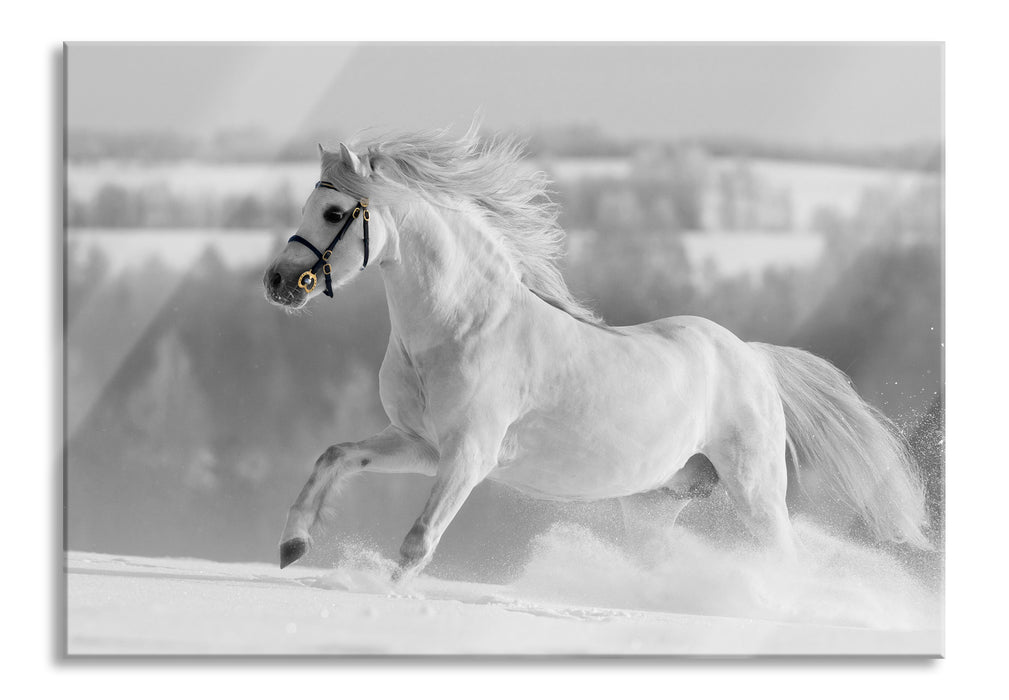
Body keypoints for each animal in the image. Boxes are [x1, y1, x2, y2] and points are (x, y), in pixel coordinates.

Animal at [263, 128, 931, 578]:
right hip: (663, 499)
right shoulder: (422, 445)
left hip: (757, 492)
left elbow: (418, 542)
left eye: (332, 211)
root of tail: (752, 359)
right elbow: (334, 456)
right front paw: (292, 547)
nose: (279, 281)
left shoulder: (470, 455)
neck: (461, 328)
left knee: (784, 559)